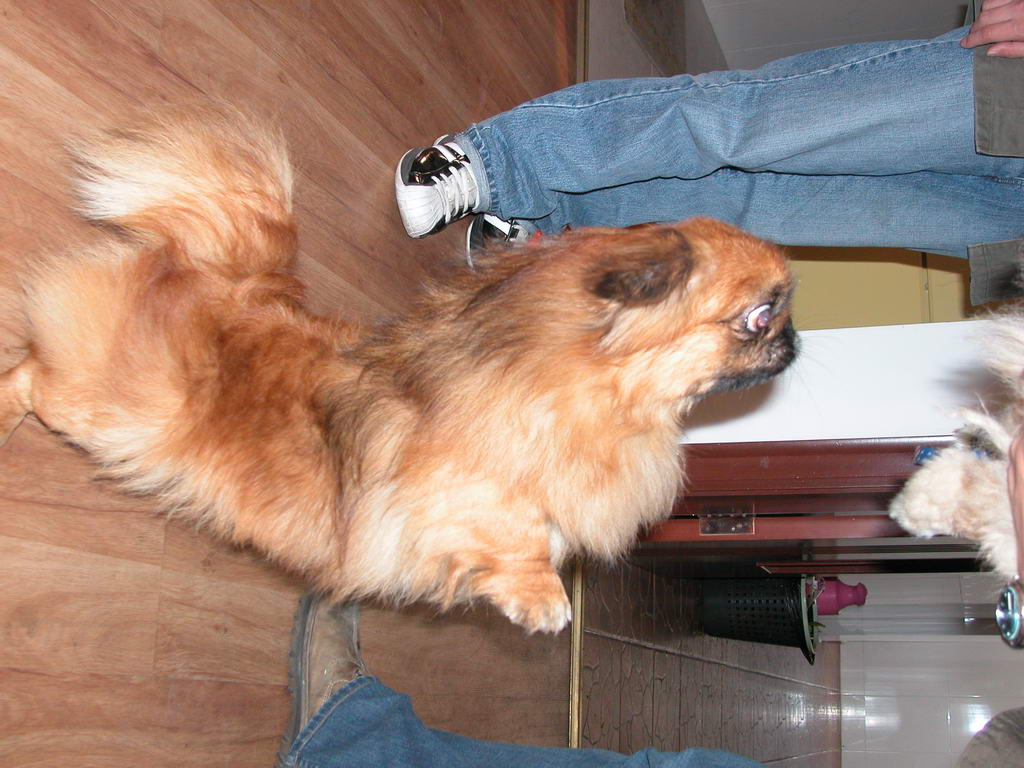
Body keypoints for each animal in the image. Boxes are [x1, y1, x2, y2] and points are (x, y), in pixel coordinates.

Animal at [0, 106, 797, 633]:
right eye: (762, 316)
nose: (795, 342)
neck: (595, 393)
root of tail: (230, 277)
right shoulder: (447, 493)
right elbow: (513, 525)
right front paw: (542, 600)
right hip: (109, 409)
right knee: (30, 375)